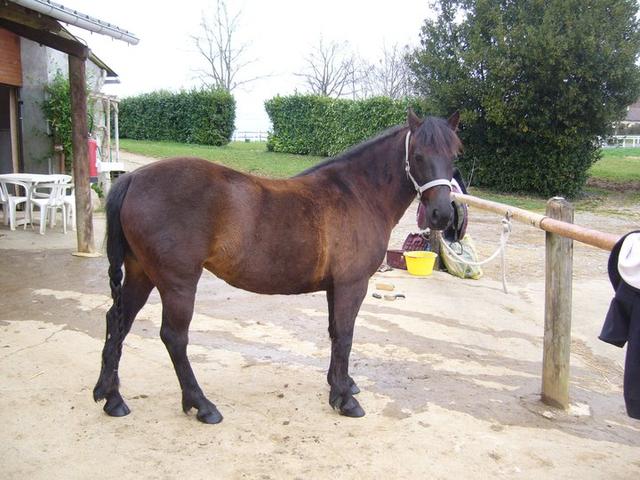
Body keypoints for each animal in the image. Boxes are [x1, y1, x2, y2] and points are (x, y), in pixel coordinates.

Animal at [93, 110, 462, 424]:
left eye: (455, 154)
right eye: (418, 155)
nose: (442, 215)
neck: (358, 193)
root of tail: (133, 179)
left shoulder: (335, 287)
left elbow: (334, 334)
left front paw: (340, 384)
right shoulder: (351, 285)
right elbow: (345, 336)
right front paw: (345, 399)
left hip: (141, 274)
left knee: (118, 322)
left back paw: (111, 398)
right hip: (177, 283)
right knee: (174, 337)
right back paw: (201, 405)